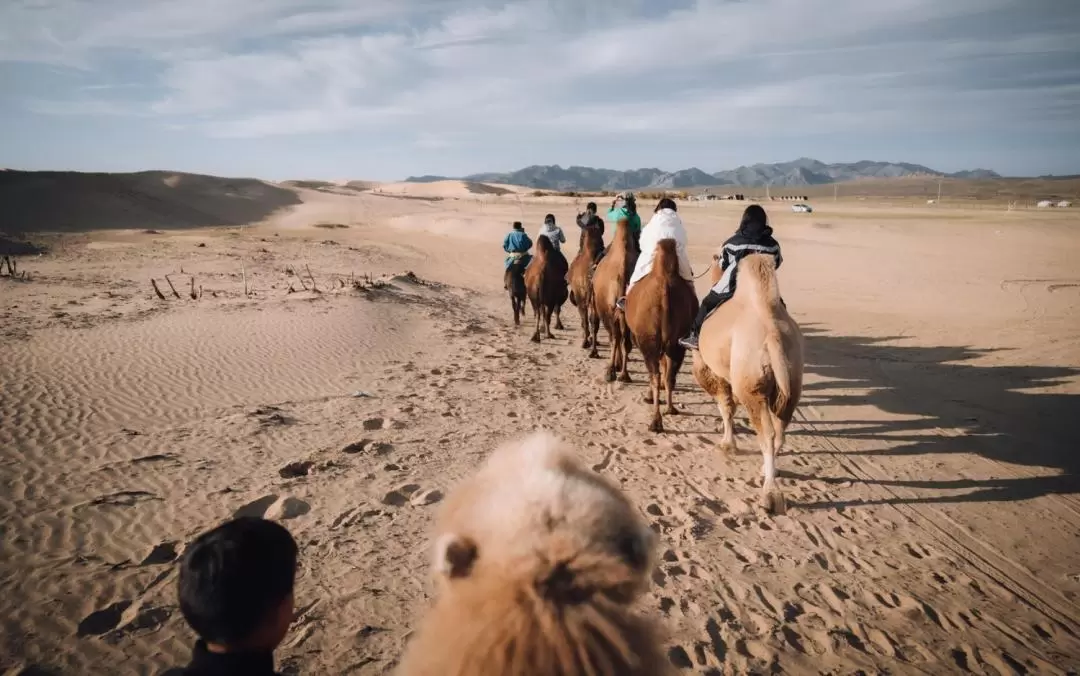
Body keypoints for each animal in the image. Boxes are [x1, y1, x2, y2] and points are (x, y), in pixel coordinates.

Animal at [626, 238, 699, 431]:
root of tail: (665, 290)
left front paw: (648, 397)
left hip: (648, 339)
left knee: (655, 374)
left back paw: (655, 421)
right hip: (678, 341)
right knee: (670, 374)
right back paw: (670, 409)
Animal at [691, 251, 803, 509]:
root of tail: (773, 338)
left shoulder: (716, 372)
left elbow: (726, 407)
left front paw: (727, 445)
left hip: (751, 385)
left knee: (767, 432)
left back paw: (770, 495)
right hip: (792, 383)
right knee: (781, 428)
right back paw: (768, 473)